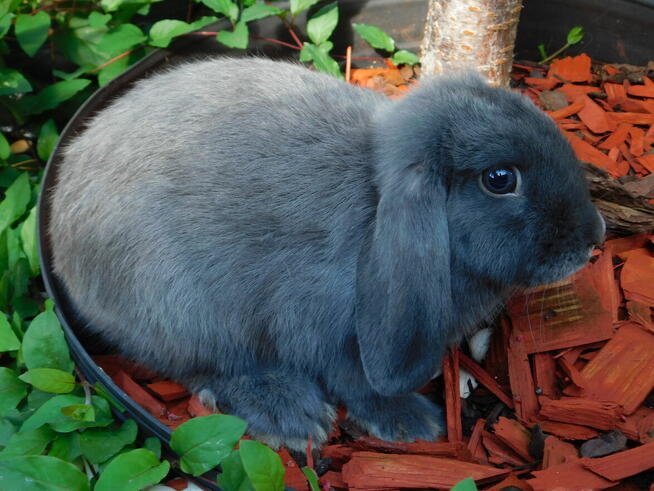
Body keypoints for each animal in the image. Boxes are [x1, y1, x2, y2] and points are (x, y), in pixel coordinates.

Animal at [48, 55, 608, 452]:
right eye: (499, 179)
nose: (594, 238)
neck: (377, 203)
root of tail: (59, 241)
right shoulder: (325, 331)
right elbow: (358, 384)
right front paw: (413, 423)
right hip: (181, 308)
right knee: (208, 368)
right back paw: (292, 416)